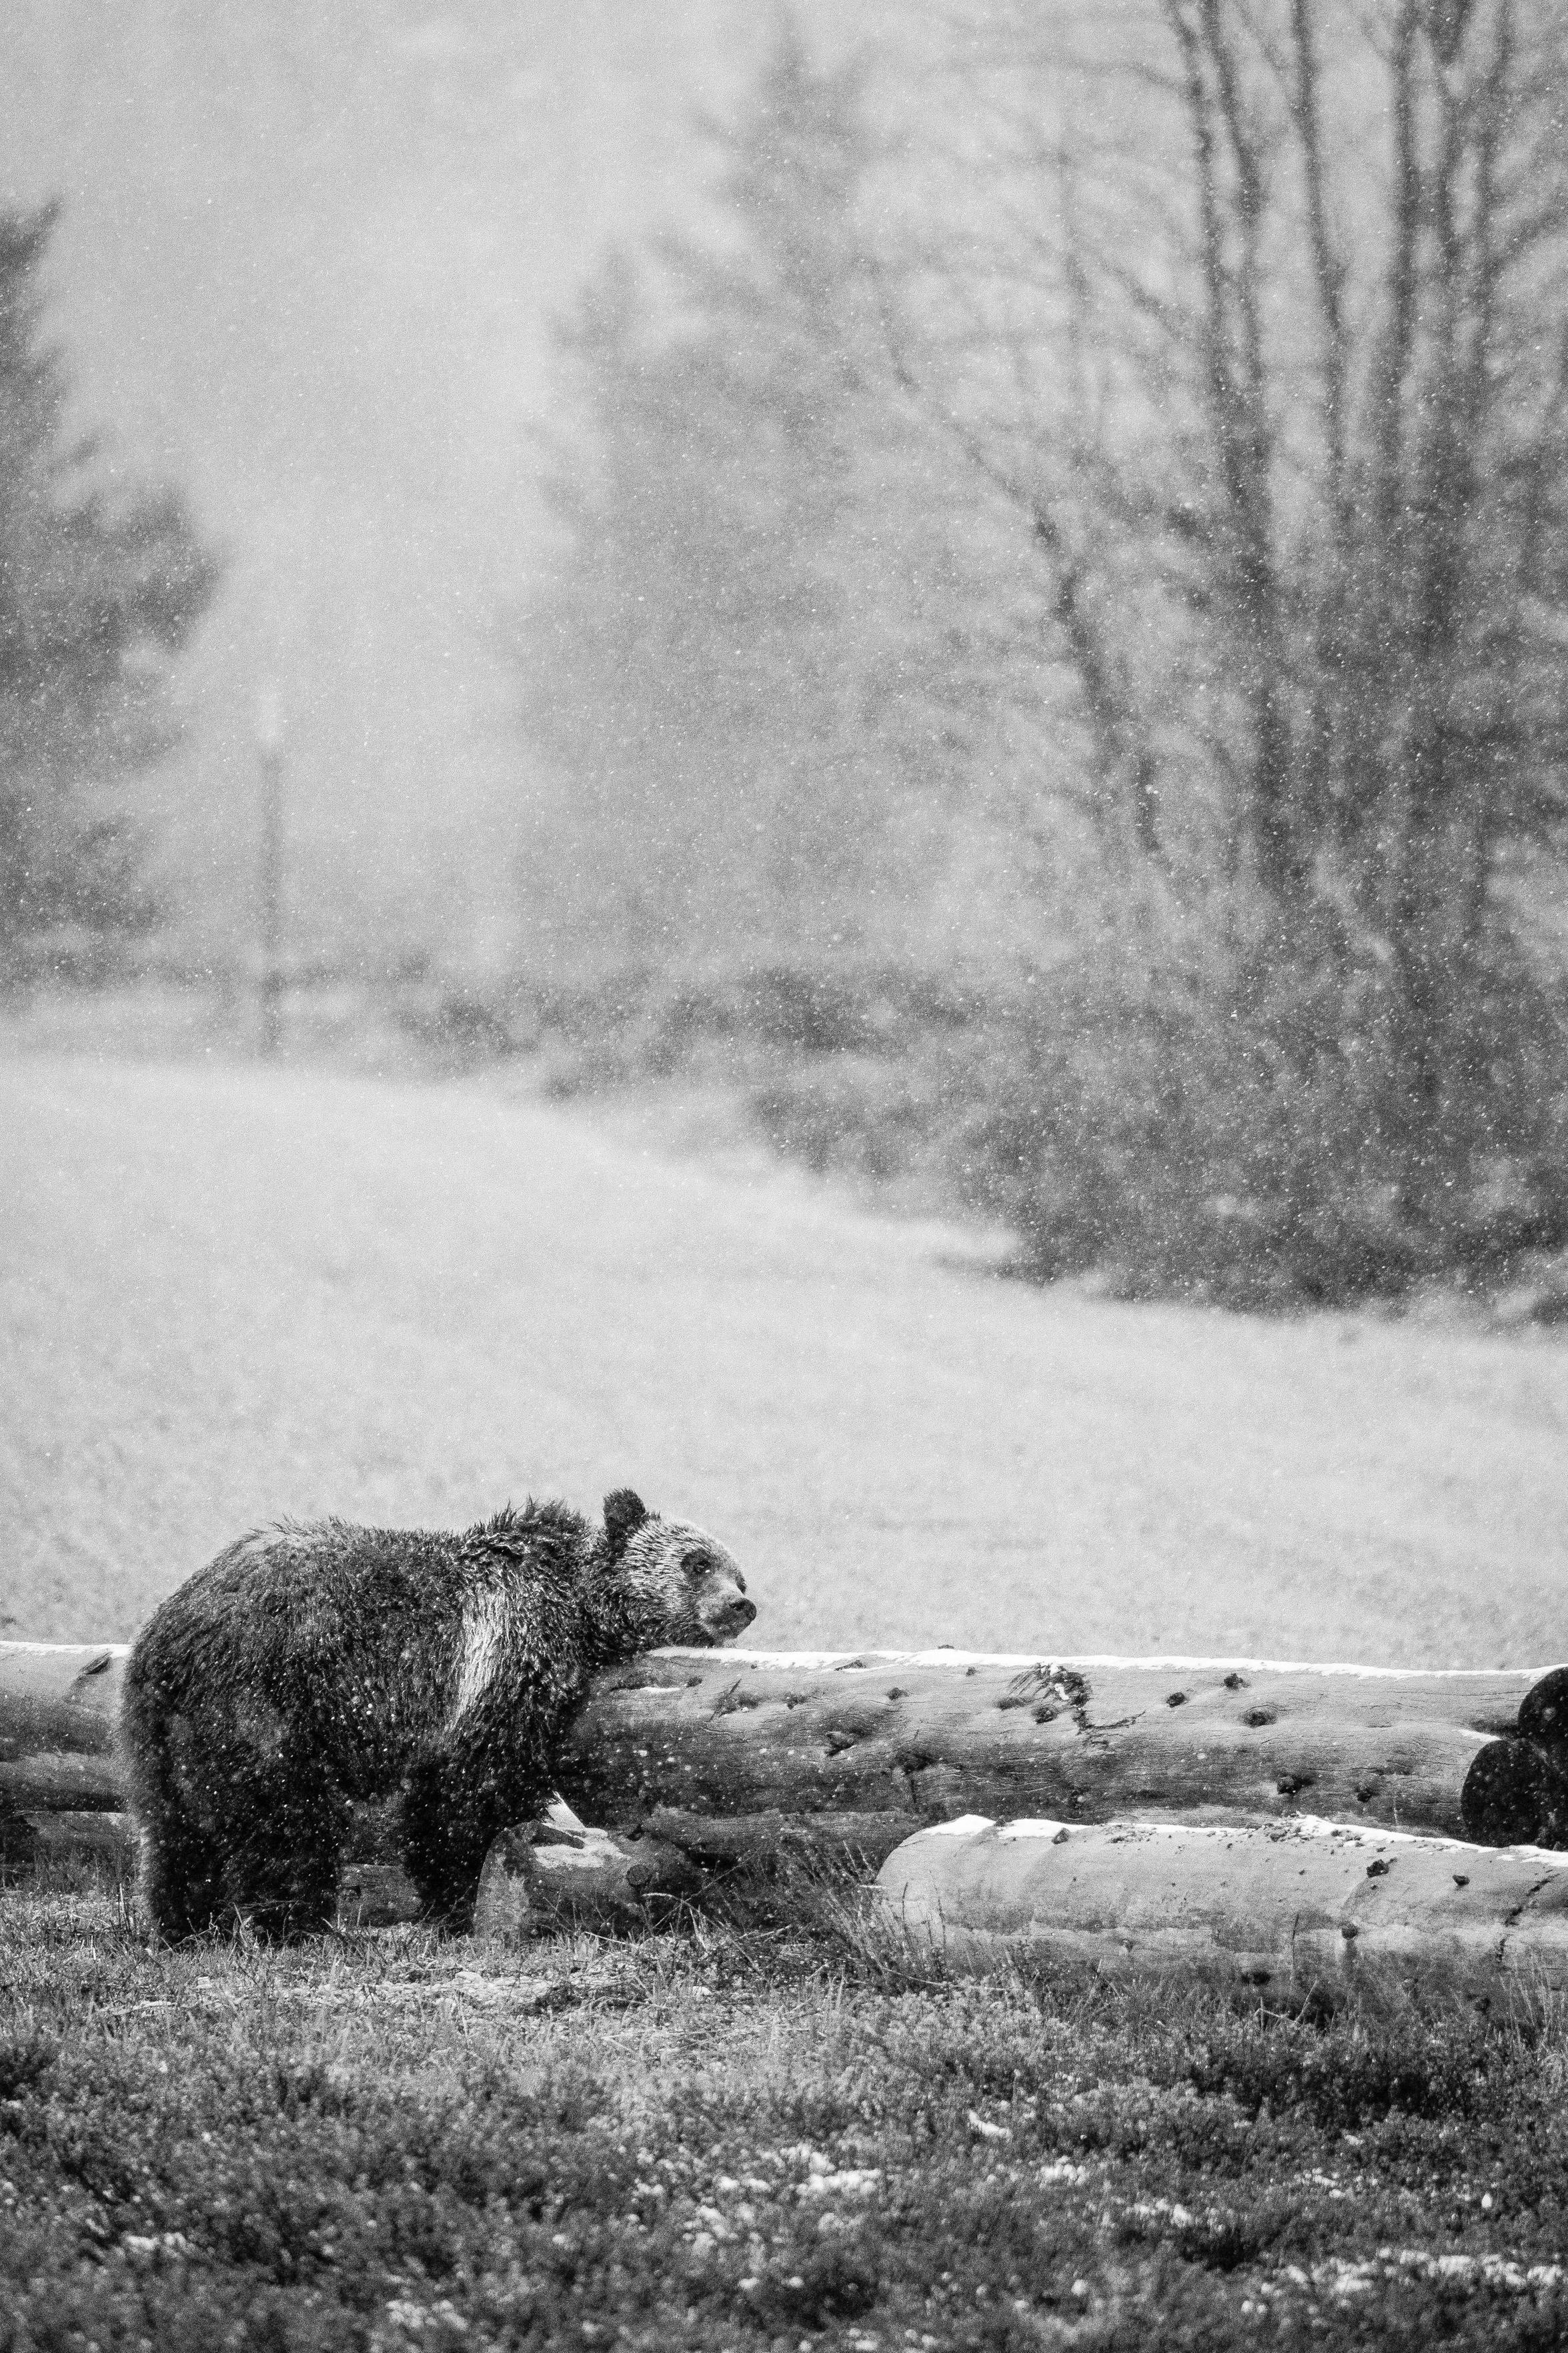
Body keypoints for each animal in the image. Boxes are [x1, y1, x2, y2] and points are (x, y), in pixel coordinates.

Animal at [121, 1487, 754, 1941]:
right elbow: (471, 1795)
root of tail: (175, 1633)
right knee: (286, 1821)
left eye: (737, 1571)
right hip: (271, 1704)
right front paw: (460, 1892)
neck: (577, 1610)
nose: (741, 1604)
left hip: (161, 1733)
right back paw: (299, 1921)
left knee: (174, 1831)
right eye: (697, 1562)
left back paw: (186, 1924)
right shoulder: (499, 1670)